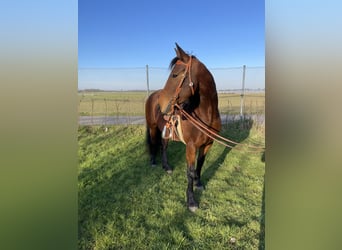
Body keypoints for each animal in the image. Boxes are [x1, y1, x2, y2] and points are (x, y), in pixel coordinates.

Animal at [145, 43, 222, 211]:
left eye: (174, 75)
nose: (161, 104)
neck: (205, 114)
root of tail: (152, 96)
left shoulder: (208, 144)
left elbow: (200, 165)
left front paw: (199, 184)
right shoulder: (191, 147)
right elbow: (190, 172)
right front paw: (191, 201)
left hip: (165, 132)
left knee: (163, 147)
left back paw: (166, 167)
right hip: (153, 128)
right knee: (154, 144)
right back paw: (153, 162)